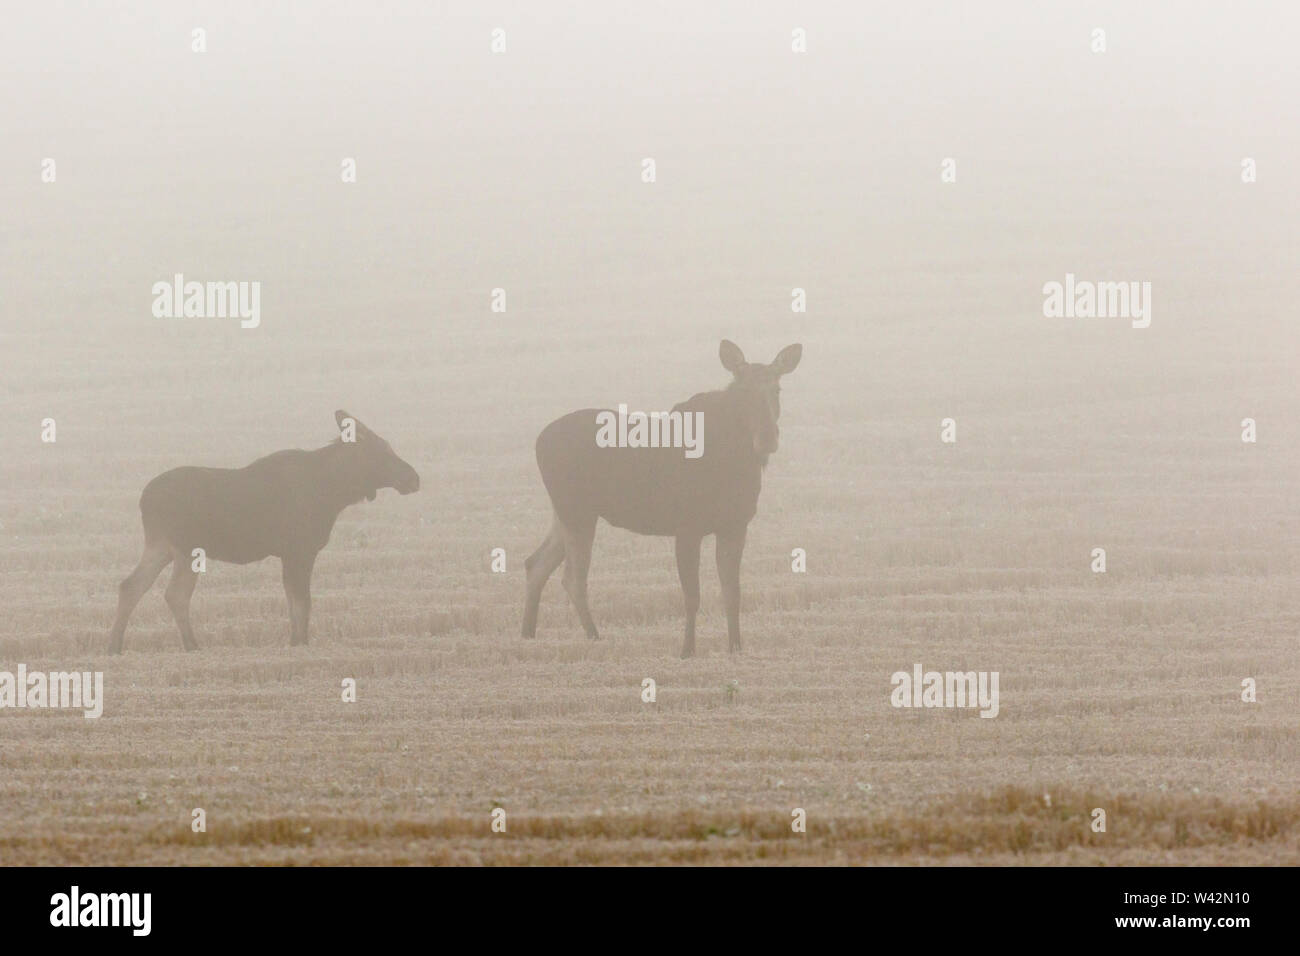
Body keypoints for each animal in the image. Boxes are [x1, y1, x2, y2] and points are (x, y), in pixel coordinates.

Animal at [110, 408, 421, 655]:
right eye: (382, 451)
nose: (414, 478)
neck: (335, 492)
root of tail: (144, 499)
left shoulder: (290, 554)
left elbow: (292, 600)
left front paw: (294, 640)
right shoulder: (300, 550)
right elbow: (303, 601)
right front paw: (301, 642)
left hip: (161, 546)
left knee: (130, 586)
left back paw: (115, 646)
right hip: (186, 548)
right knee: (175, 593)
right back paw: (191, 645)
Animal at [522, 338, 795, 658]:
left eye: (777, 389)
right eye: (743, 392)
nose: (767, 437)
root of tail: (539, 441)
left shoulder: (735, 526)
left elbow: (733, 593)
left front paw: (736, 648)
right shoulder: (687, 526)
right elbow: (692, 595)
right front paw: (687, 650)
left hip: (565, 512)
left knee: (536, 563)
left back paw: (527, 634)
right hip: (576, 511)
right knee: (573, 578)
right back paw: (594, 637)